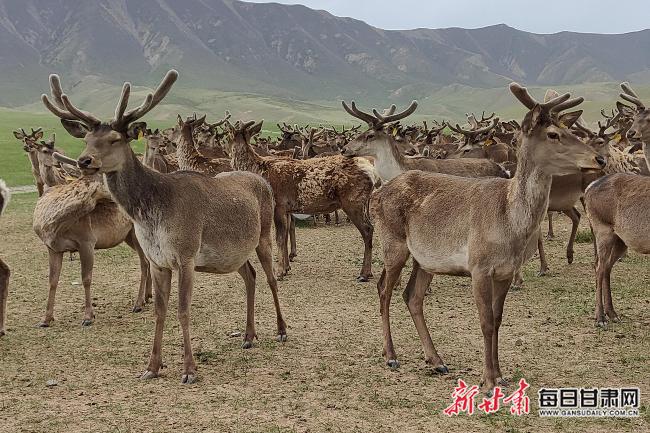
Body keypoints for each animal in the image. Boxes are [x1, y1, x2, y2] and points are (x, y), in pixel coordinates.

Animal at [44, 70, 287, 383]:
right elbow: (160, 311)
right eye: (86, 138)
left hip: (264, 234)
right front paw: (152, 366)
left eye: (115, 138)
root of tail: (263, 182)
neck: (152, 216)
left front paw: (190, 370)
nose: (84, 160)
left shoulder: (186, 255)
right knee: (250, 275)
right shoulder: (158, 261)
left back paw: (281, 329)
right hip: (234, 253)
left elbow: (183, 310)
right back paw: (248, 336)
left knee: (270, 278)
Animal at [224, 119, 376, 282]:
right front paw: (286, 268)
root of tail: (371, 171)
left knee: (367, 230)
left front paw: (279, 272)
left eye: (228, 137)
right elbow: (285, 236)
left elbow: (279, 238)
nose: (226, 151)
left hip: (353, 201)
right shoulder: (287, 209)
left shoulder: (279, 204)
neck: (258, 170)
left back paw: (364, 274)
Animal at [370, 83, 604, 391]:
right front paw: (488, 378)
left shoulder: (505, 272)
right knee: (384, 289)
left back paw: (436, 360)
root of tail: (378, 192)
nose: (599, 158)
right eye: (553, 134)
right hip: (393, 243)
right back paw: (390, 355)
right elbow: (484, 321)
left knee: (412, 296)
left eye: (569, 129)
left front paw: (500, 374)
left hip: (426, 260)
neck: (510, 223)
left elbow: (497, 319)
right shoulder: (479, 266)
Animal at [585, 82, 650, 327]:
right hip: (602, 229)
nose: (631, 133)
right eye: (634, 118)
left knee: (607, 268)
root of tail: (589, 187)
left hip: (621, 239)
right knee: (598, 267)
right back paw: (600, 317)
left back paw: (613, 313)